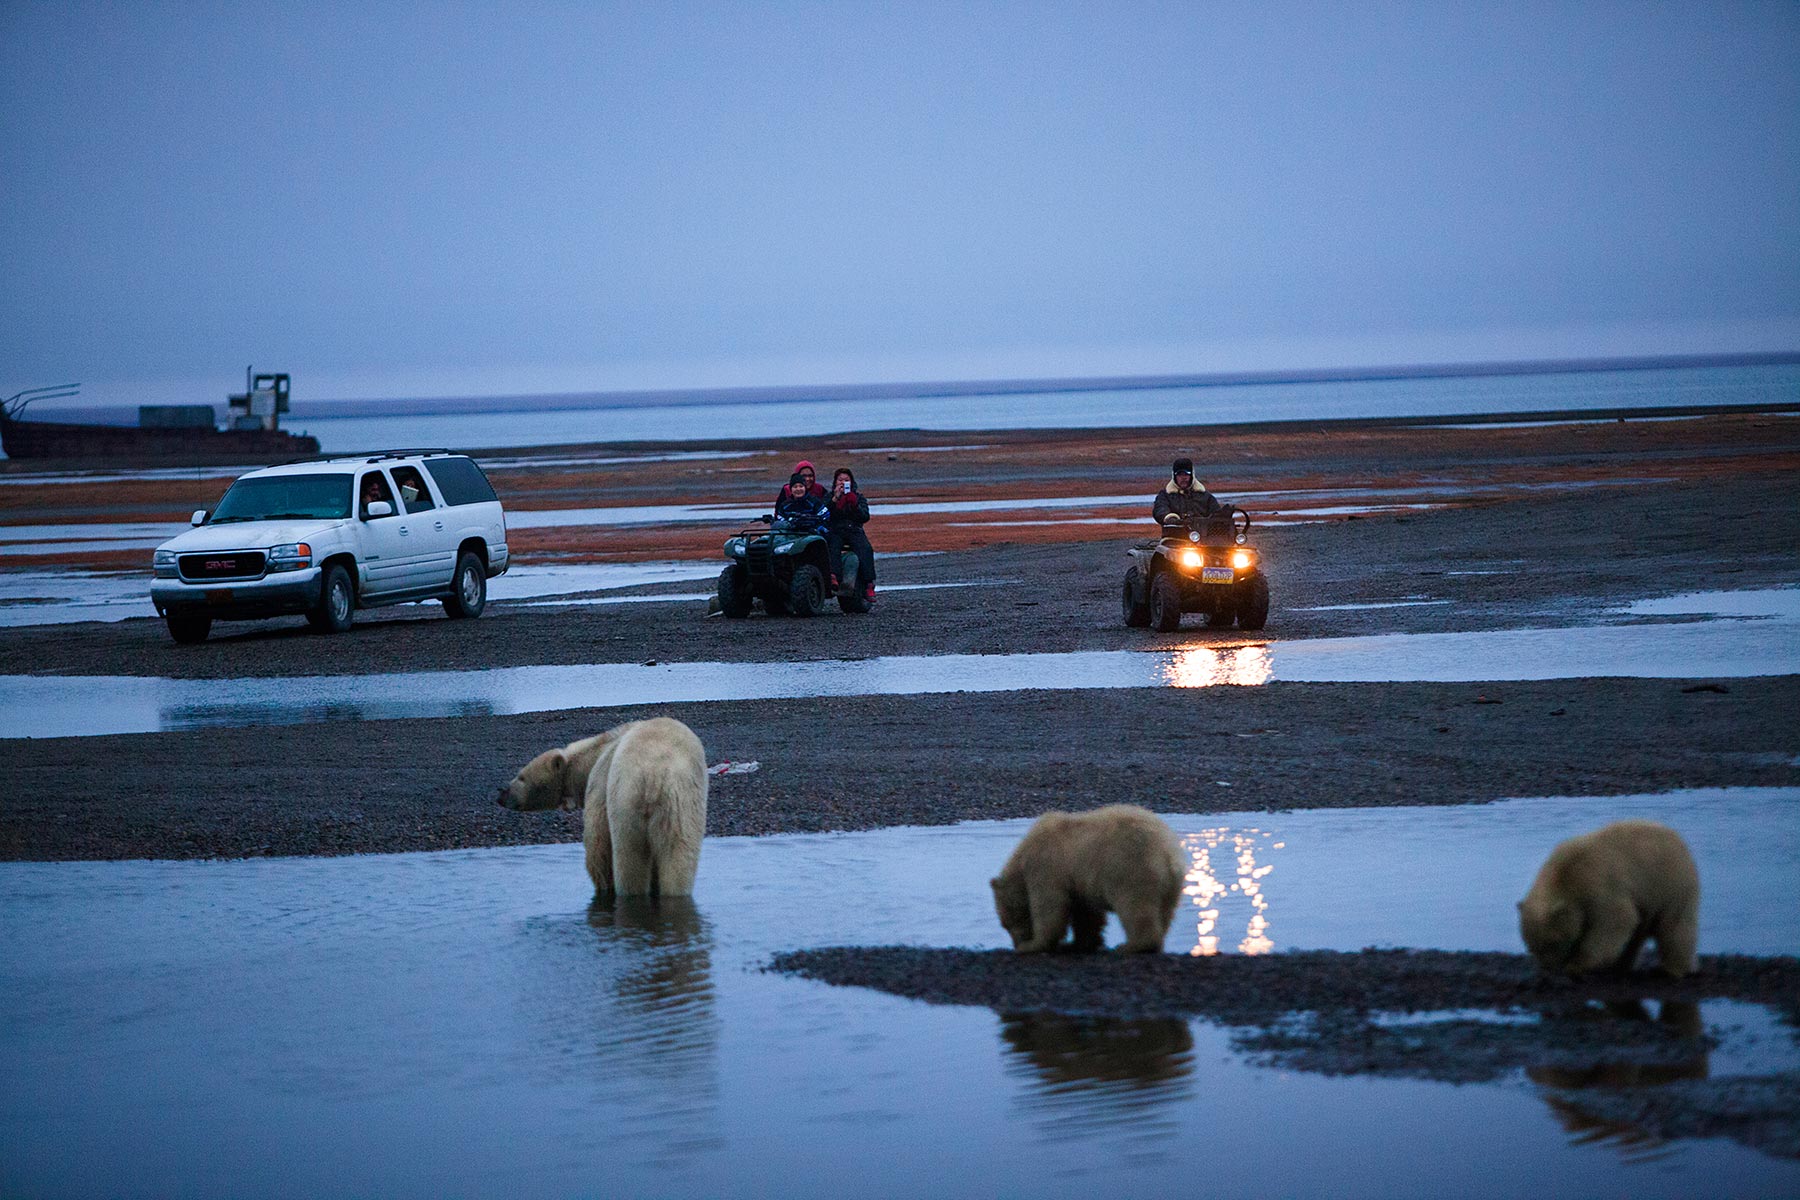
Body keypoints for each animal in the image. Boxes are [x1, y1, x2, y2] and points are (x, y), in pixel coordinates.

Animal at [504, 719, 712, 895]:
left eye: (521, 777)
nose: (501, 795)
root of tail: (653, 775)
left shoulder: (600, 779)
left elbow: (598, 845)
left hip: (627, 800)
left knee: (627, 856)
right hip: (678, 807)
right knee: (677, 857)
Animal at [993, 805, 1188, 957]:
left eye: (1006, 923)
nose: (1016, 944)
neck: (1022, 857)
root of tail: (1168, 853)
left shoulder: (1046, 866)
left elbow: (1050, 907)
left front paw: (1033, 945)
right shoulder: (1077, 879)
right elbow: (1086, 913)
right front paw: (1078, 944)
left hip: (1130, 868)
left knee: (1135, 906)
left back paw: (1130, 946)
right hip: (1171, 886)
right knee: (1165, 912)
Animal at [1519, 820, 1699, 978]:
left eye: (1552, 942)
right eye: (1531, 947)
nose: (1547, 969)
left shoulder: (1599, 886)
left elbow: (1615, 920)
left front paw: (1577, 964)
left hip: (1670, 885)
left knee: (1674, 927)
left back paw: (1670, 969)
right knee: (1637, 933)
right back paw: (1620, 965)